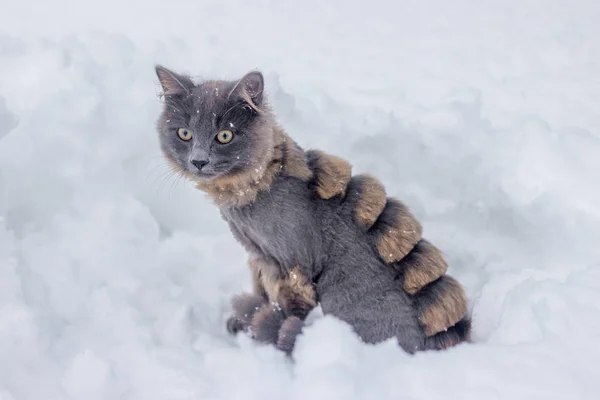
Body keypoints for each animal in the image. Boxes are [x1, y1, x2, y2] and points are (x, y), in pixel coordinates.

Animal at [155, 66, 474, 356]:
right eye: (184, 133)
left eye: (224, 136)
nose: (198, 161)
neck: (254, 186)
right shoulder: (258, 255)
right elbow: (260, 289)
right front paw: (245, 321)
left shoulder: (292, 263)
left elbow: (289, 305)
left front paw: (266, 332)